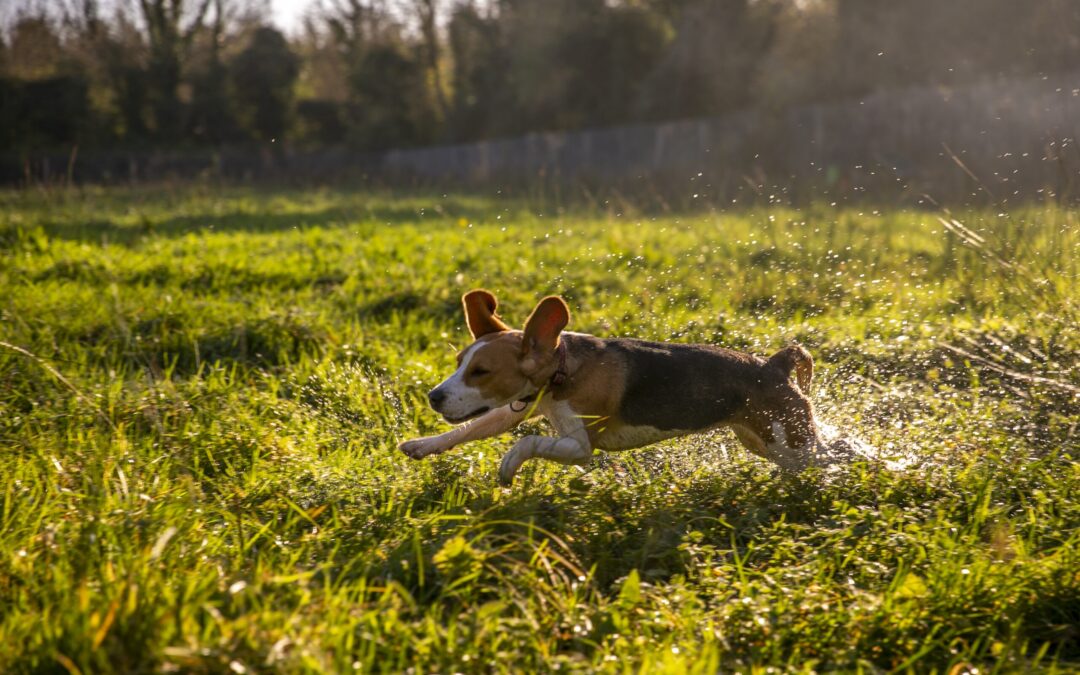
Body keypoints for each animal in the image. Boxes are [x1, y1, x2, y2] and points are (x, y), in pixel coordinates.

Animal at [401, 287, 829, 481]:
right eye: (460, 363)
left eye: (481, 372)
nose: (433, 397)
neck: (562, 371)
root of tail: (773, 365)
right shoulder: (515, 408)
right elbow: (470, 429)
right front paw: (421, 445)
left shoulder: (579, 447)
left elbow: (529, 442)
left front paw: (508, 468)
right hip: (764, 441)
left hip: (791, 443)